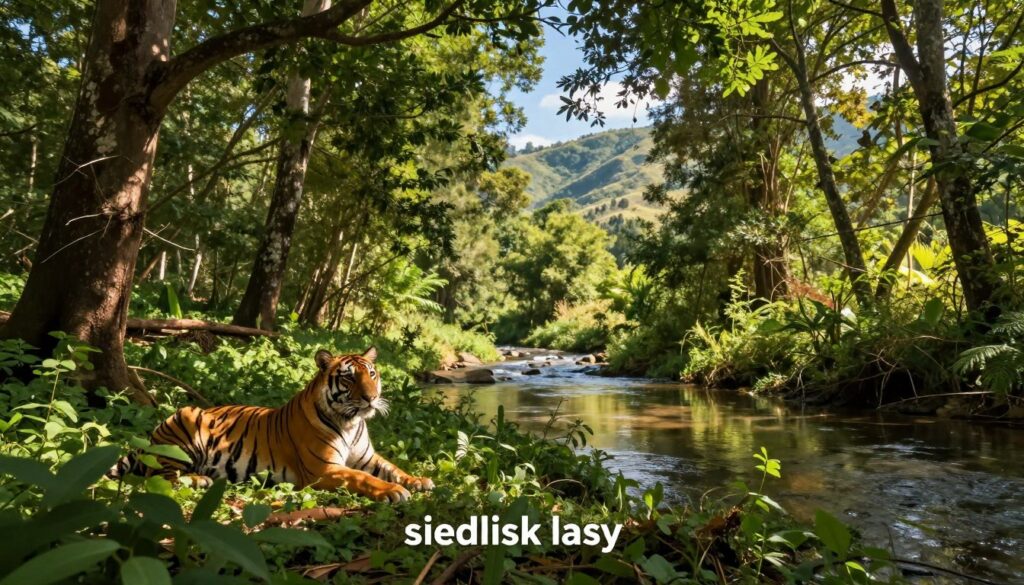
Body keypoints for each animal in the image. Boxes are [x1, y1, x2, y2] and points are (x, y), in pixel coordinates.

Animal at [131, 347, 433, 502]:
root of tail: (151, 437)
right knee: (159, 477)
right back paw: (199, 480)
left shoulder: (368, 458)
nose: (372, 398)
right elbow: (363, 478)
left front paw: (418, 480)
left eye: (371, 374)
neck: (350, 422)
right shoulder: (324, 470)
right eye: (349, 378)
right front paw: (394, 491)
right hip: (186, 422)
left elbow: (393, 469)